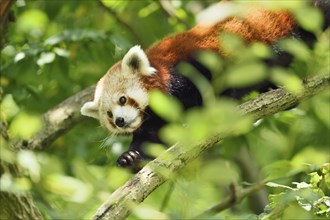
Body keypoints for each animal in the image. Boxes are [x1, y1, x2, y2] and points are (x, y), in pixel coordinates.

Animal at [81, 0, 328, 171]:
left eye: (122, 99)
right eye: (109, 115)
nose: (121, 121)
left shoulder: (194, 63)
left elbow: (215, 84)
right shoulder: (155, 118)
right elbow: (149, 141)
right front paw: (130, 158)